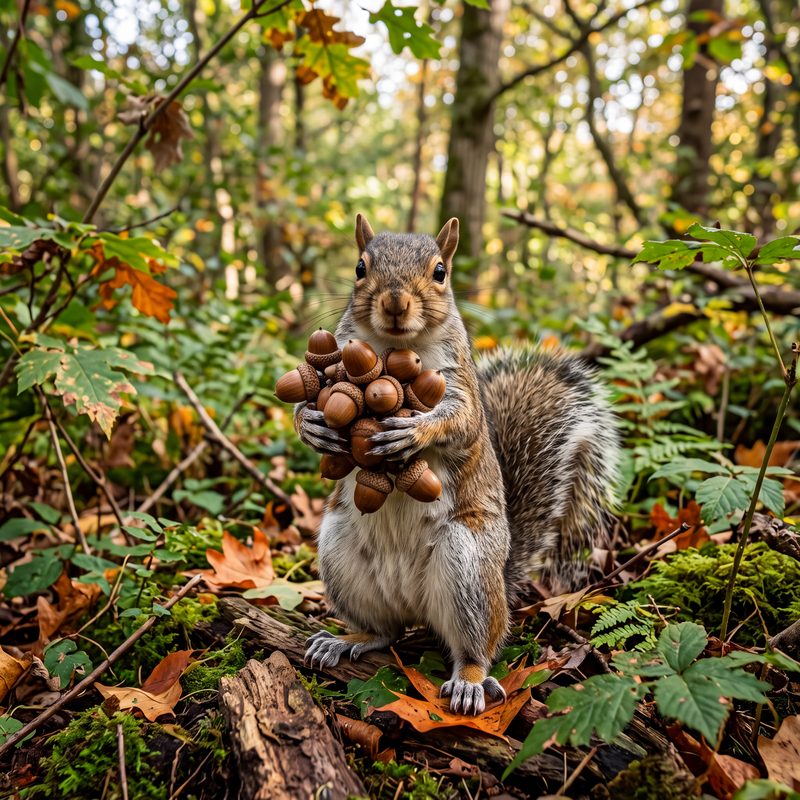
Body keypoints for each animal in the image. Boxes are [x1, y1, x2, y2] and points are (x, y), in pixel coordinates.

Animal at [296, 214, 619, 715]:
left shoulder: (460, 384)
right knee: (385, 631)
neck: (392, 347)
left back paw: (468, 681)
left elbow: (461, 421)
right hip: (339, 555)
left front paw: (414, 432)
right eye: (359, 267)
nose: (395, 302)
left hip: (467, 564)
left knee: (477, 648)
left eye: (440, 272)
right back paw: (347, 639)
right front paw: (310, 424)